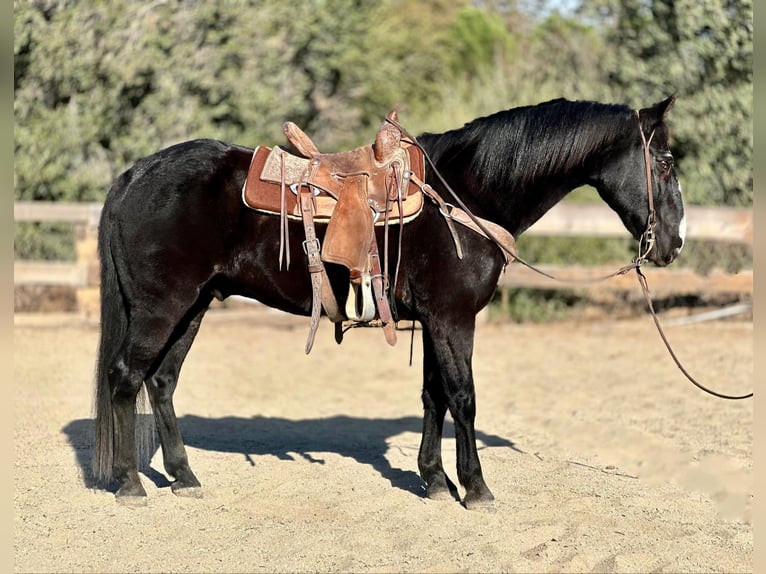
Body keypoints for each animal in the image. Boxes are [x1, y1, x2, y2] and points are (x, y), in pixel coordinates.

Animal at [92, 96, 685, 509]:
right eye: (665, 162)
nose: (674, 243)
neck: (466, 196)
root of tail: (134, 175)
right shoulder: (452, 319)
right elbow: (464, 398)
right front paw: (476, 488)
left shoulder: (436, 322)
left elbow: (434, 397)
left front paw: (435, 481)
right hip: (161, 307)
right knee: (124, 377)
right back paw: (129, 484)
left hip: (194, 306)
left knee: (161, 382)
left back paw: (184, 477)